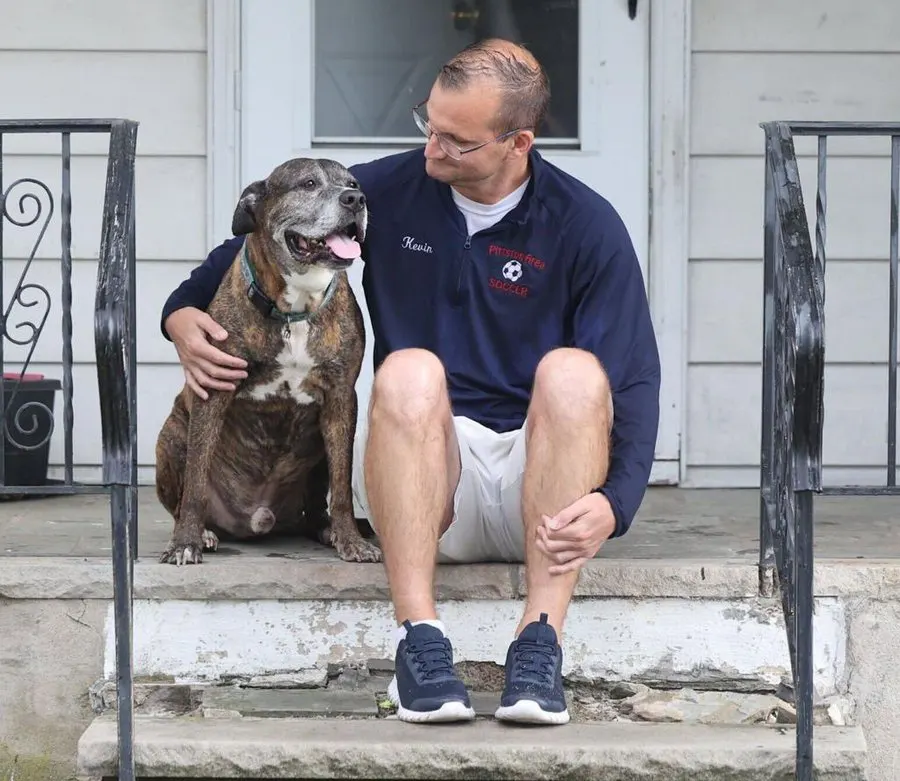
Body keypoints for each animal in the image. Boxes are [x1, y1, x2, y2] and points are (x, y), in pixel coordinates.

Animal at [155, 155, 380, 564]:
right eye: (308, 184)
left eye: (353, 182)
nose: (356, 199)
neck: (295, 308)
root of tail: (258, 519)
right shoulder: (214, 389)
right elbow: (195, 480)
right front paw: (184, 543)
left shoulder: (341, 398)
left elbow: (341, 485)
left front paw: (351, 541)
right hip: (172, 435)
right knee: (183, 496)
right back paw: (203, 532)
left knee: (317, 503)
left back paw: (326, 529)